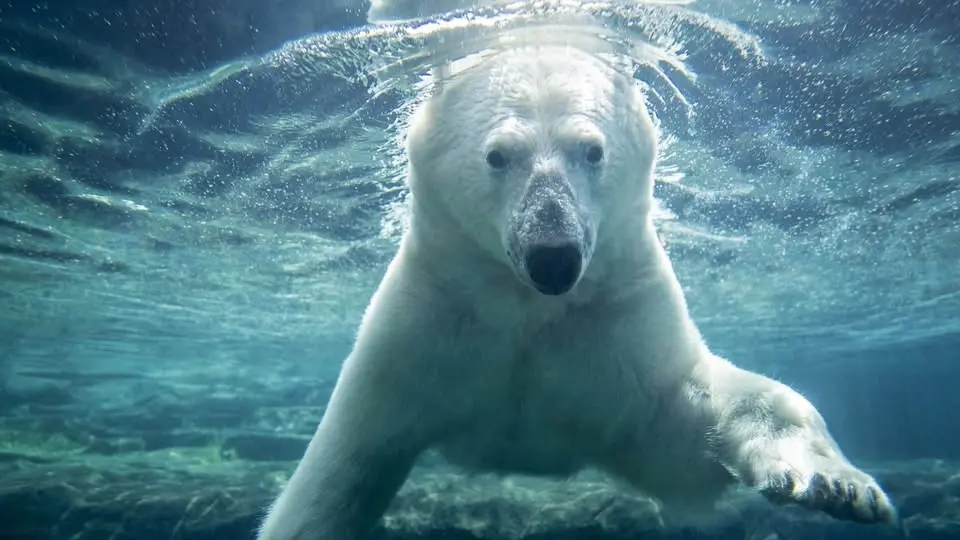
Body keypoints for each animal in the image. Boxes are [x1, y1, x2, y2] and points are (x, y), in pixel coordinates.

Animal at [256, 44, 897, 540]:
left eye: (592, 150)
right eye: (498, 155)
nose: (554, 258)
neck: (526, 308)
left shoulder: (614, 327)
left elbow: (694, 423)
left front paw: (837, 485)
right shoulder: (429, 324)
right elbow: (340, 471)